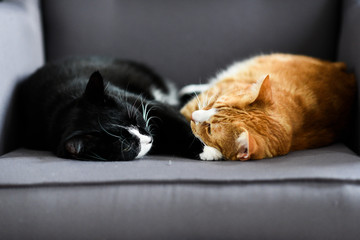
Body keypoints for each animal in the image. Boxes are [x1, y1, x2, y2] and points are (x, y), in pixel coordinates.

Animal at [20, 57, 202, 160]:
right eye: (126, 146)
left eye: (135, 118)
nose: (149, 139)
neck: (63, 109)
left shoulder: (142, 102)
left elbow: (174, 118)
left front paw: (205, 147)